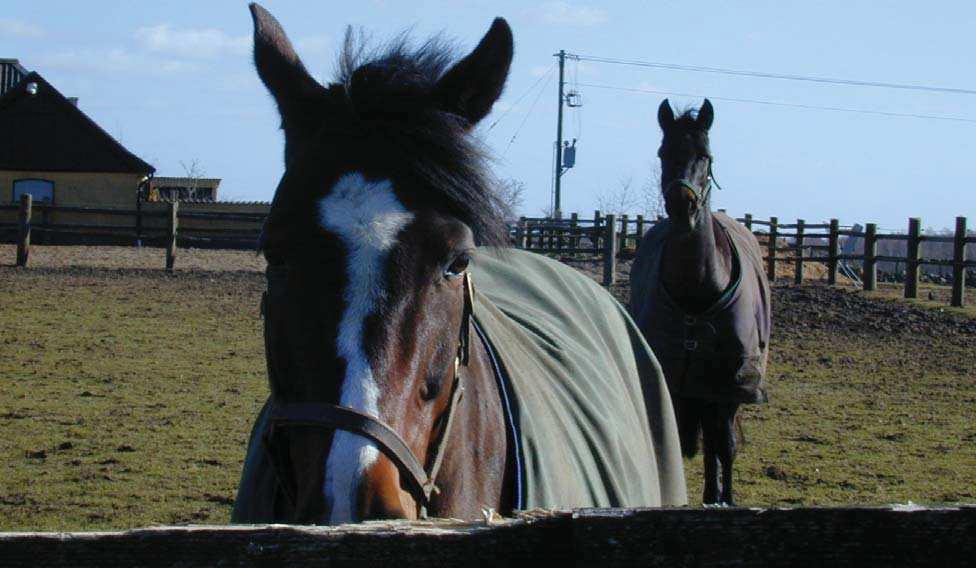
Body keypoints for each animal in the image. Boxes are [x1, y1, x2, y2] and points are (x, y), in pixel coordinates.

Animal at [628, 100, 772, 504]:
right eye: (663, 153)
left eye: (705, 156)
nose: (683, 206)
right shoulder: (673, 381)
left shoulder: (728, 384)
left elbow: (724, 445)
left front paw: (725, 497)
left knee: (716, 441)